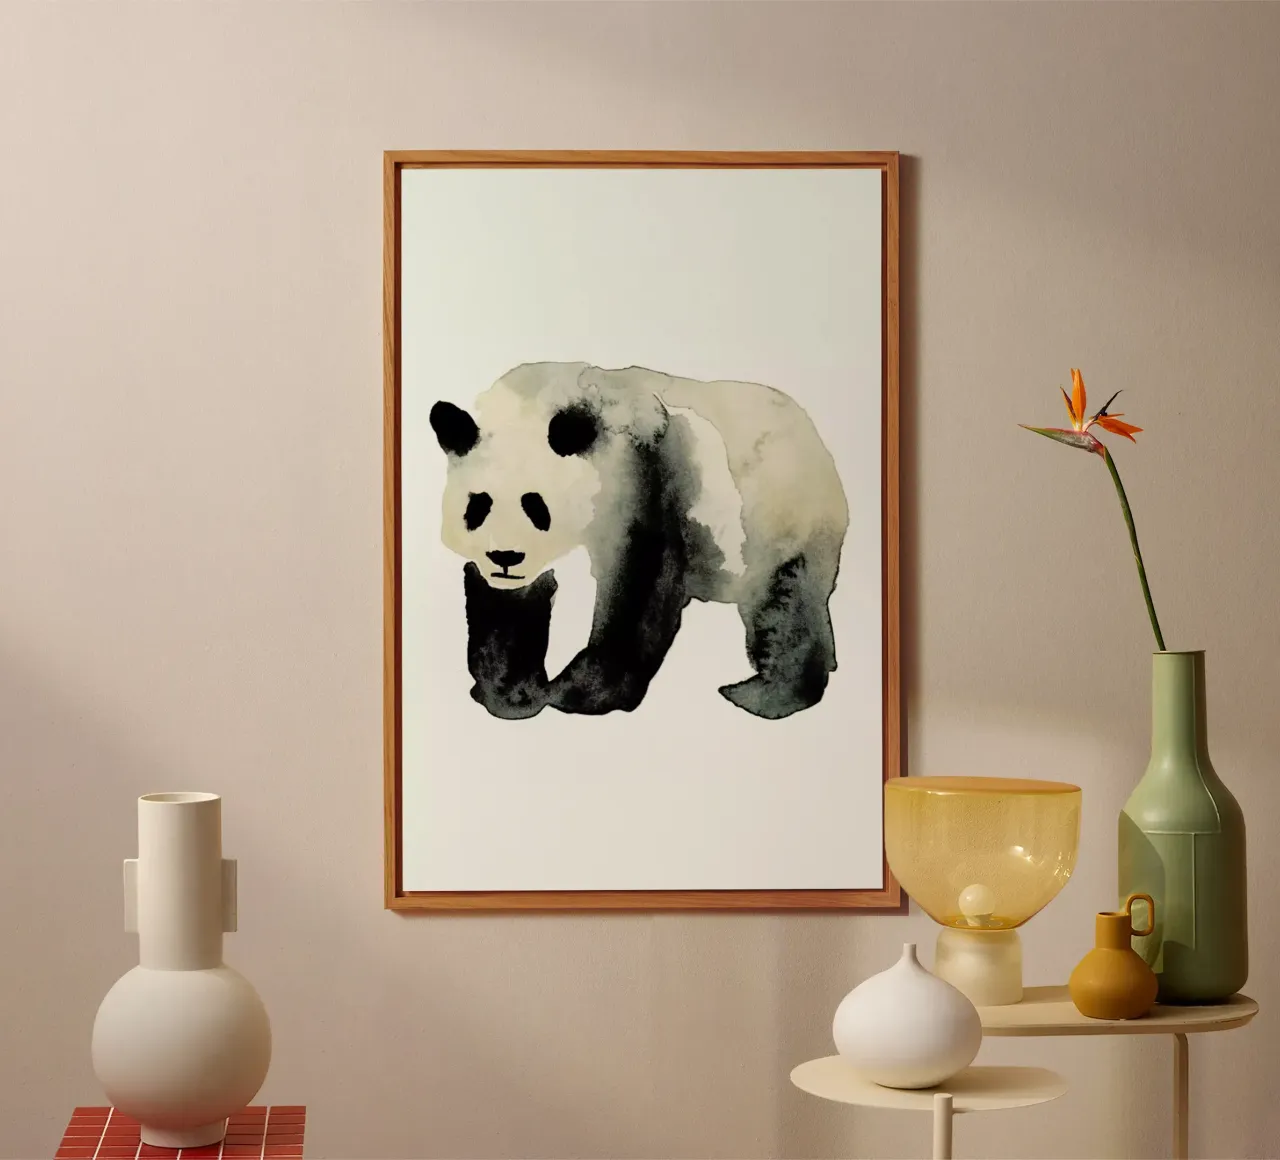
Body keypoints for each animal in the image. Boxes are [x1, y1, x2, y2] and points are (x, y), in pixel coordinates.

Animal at [427, 361, 849, 721]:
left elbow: (638, 581)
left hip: (780, 517)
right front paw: (509, 693)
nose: (506, 556)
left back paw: (763, 694)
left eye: (535, 505)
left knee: (784, 603)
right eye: (479, 504)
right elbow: (508, 608)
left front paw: (578, 694)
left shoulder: (643, 473)